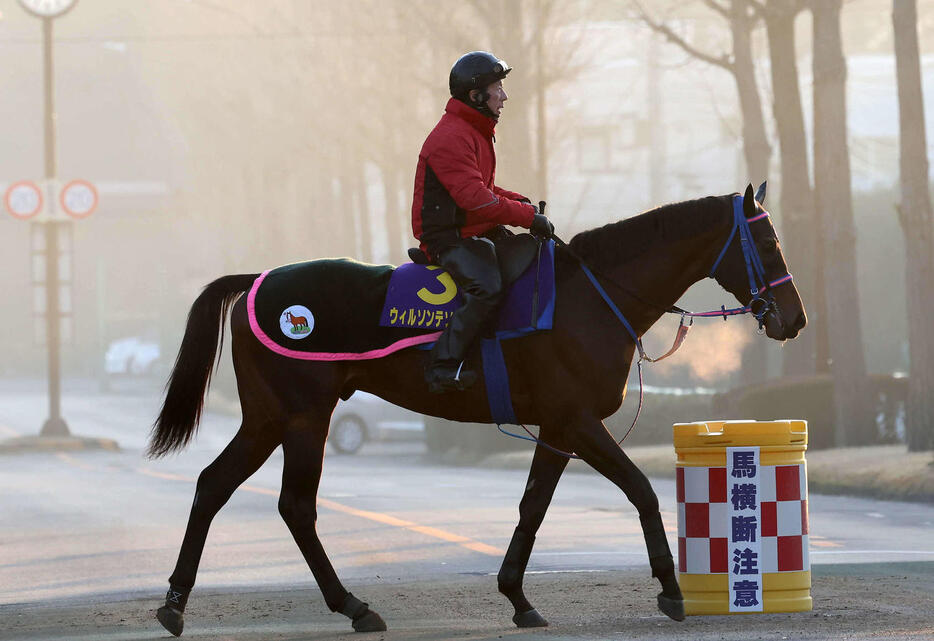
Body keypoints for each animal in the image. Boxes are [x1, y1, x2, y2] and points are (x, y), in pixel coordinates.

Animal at [148, 184, 804, 636]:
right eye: (768, 241)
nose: (793, 319)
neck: (590, 295)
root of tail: (257, 279)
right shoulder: (579, 421)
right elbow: (641, 489)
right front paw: (670, 587)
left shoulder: (558, 425)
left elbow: (533, 506)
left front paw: (518, 596)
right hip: (303, 417)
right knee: (294, 506)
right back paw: (350, 605)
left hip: (269, 419)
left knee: (216, 486)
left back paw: (177, 604)